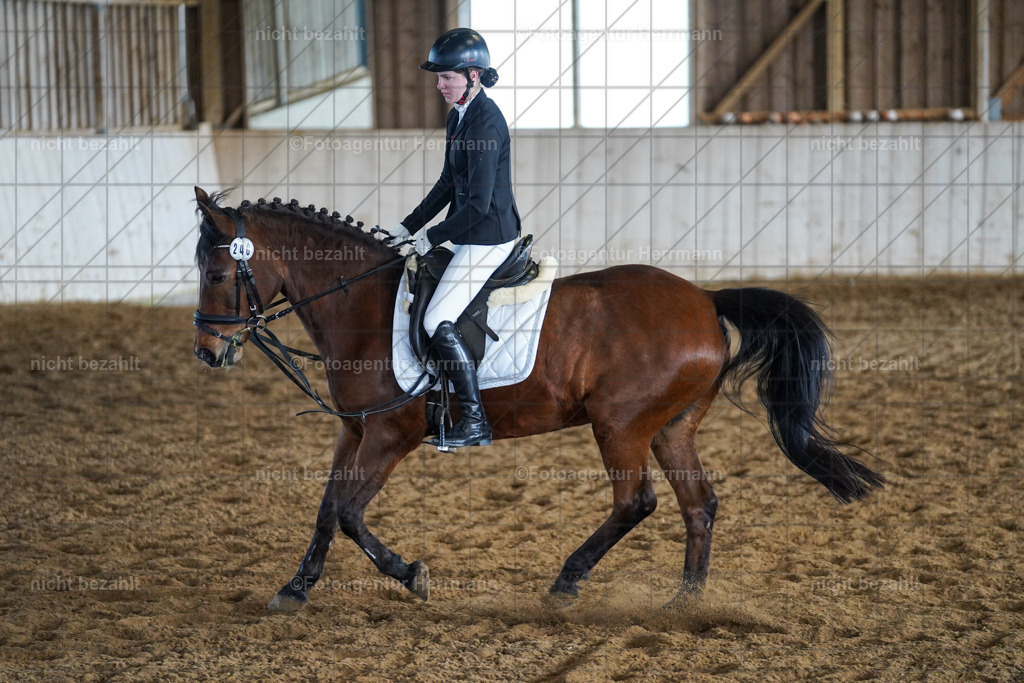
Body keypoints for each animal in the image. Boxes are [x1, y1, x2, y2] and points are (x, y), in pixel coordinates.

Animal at [191, 186, 884, 613]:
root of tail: (707, 301)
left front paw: (412, 575)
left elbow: (349, 514)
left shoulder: (390, 437)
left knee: (637, 502)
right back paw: (684, 604)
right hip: (670, 428)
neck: (360, 304)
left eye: (218, 273)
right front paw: (295, 588)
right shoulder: (355, 431)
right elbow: (326, 510)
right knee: (699, 506)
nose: (207, 352)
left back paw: (567, 582)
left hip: (620, 425)